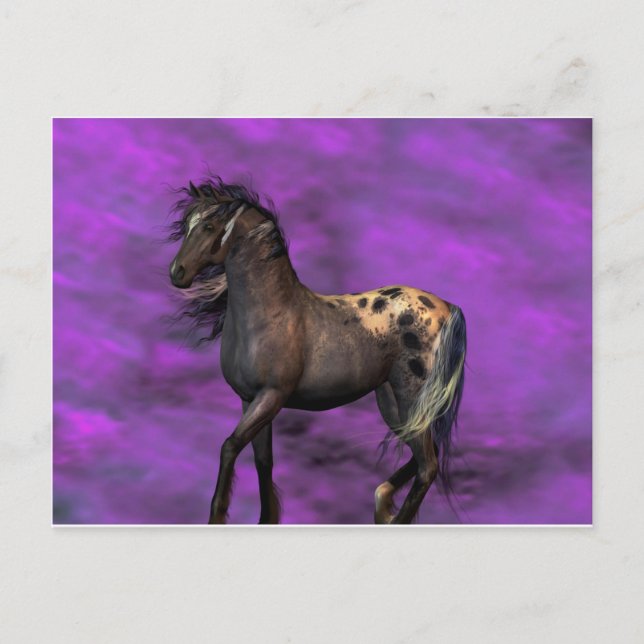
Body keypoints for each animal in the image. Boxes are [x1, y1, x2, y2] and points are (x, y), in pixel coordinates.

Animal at [168, 177, 466, 524]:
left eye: (209, 225)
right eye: (186, 224)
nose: (177, 272)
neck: (270, 313)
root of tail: (446, 307)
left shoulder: (271, 397)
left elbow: (230, 446)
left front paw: (217, 517)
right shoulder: (249, 399)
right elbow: (263, 460)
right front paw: (267, 519)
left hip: (411, 398)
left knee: (428, 465)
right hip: (392, 402)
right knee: (425, 457)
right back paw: (383, 504)